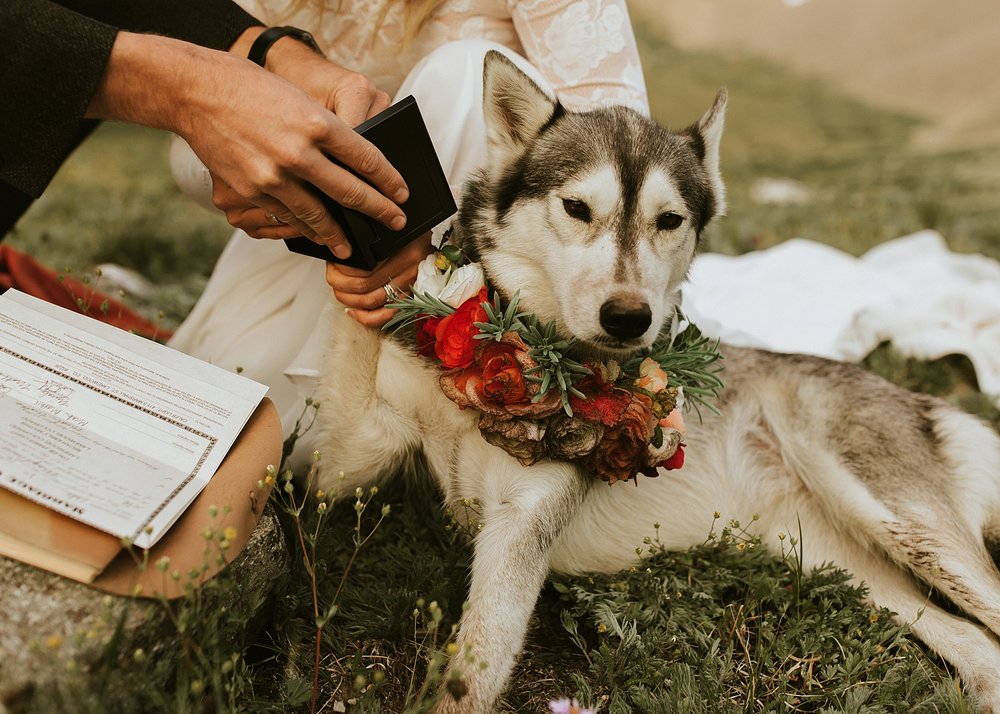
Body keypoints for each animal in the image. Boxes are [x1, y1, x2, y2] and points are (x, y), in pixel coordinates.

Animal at [316, 51, 1000, 712]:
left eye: (669, 220)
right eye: (576, 208)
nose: (628, 318)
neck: (498, 365)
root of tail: (924, 403)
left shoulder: (521, 523)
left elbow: (471, 676)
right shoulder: (347, 466)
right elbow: (349, 358)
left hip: (899, 522)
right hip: (837, 557)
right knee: (980, 647)